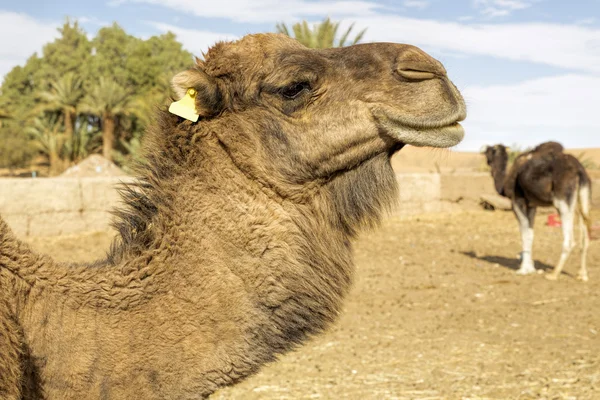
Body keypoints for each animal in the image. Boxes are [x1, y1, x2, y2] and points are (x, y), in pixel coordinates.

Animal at [482, 143, 592, 282]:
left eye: (489, 151)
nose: (486, 156)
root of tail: (579, 171)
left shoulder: (517, 201)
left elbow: (524, 233)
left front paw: (523, 269)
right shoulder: (532, 205)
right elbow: (530, 233)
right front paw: (530, 267)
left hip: (562, 200)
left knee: (570, 240)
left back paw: (553, 274)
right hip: (583, 197)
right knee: (585, 235)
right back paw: (582, 275)